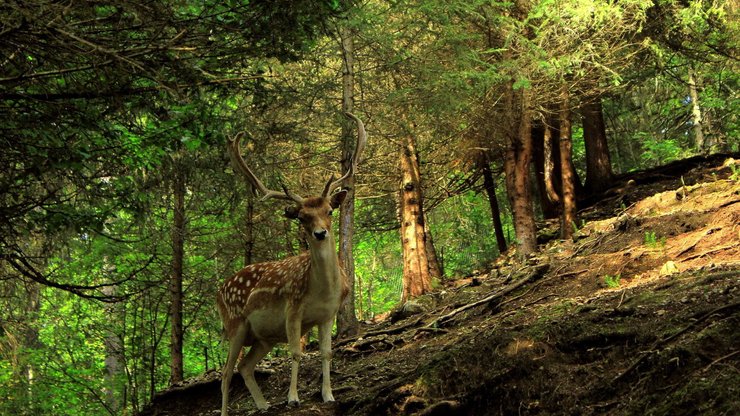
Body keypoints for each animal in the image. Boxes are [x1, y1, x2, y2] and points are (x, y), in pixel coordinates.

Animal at [215, 112, 366, 414]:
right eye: (302, 217)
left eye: (329, 211)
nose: (320, 233)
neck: (323, 291)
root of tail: (217, 291)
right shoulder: (293, 309)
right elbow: (296, 353)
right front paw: (293, 398)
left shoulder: (328, 314)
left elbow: (326, 352)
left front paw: (328, 395)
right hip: (235, 324)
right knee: (225, 373)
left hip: (263, 337)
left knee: (244, 366)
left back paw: (263, 405)